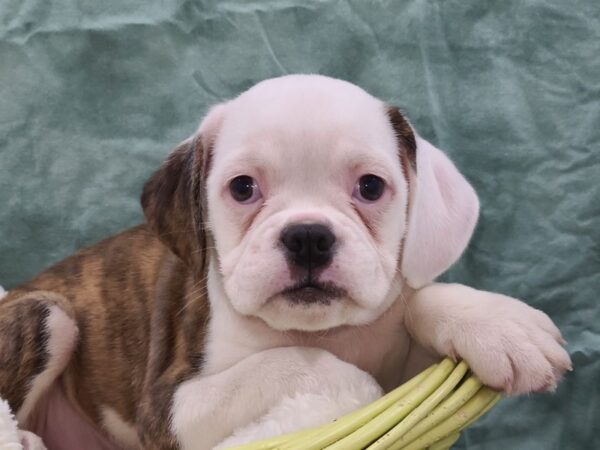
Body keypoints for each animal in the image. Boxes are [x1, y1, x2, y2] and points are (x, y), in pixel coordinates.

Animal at [1, 75, 572, 448]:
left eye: (371, 187)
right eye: (242, 188)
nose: (308, 237)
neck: (328, 330)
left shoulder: (409, 360)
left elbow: (419, 299)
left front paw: (498, 325)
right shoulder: (171, 407)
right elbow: (287, 363)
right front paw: (355, 389)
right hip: (48, 315)